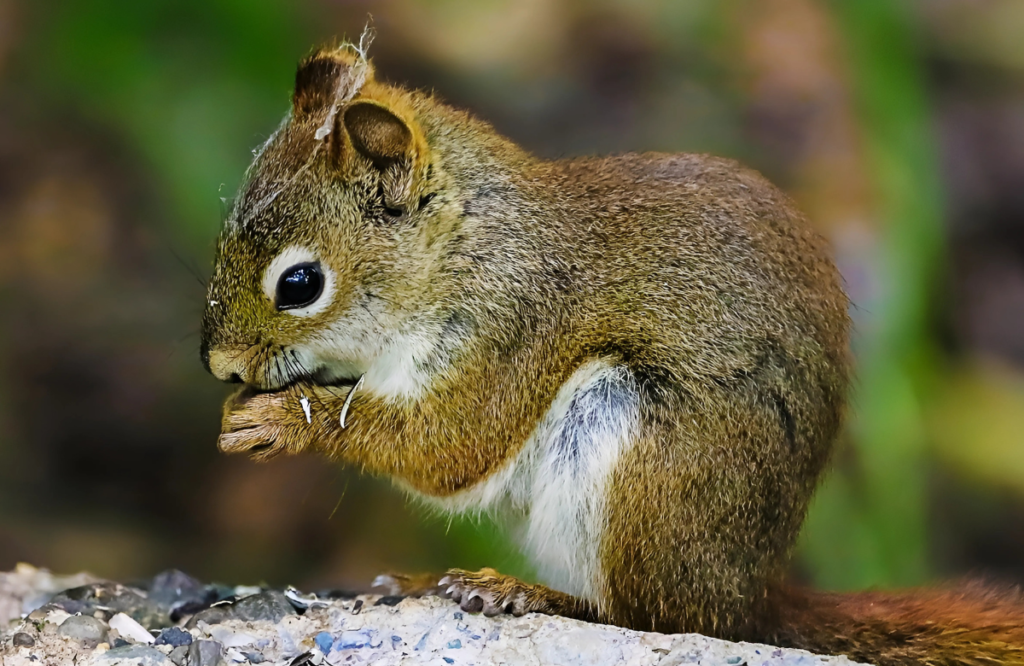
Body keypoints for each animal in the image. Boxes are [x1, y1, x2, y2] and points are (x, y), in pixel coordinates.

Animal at [197, 44, 1024, 659]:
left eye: (300, 283)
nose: (220, 367)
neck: (462, 248)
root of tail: (751, 595)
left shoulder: (514, 326)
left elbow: (451, 445)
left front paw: (281, 421)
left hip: (638, 452)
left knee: (652, 618)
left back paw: (526, 592)